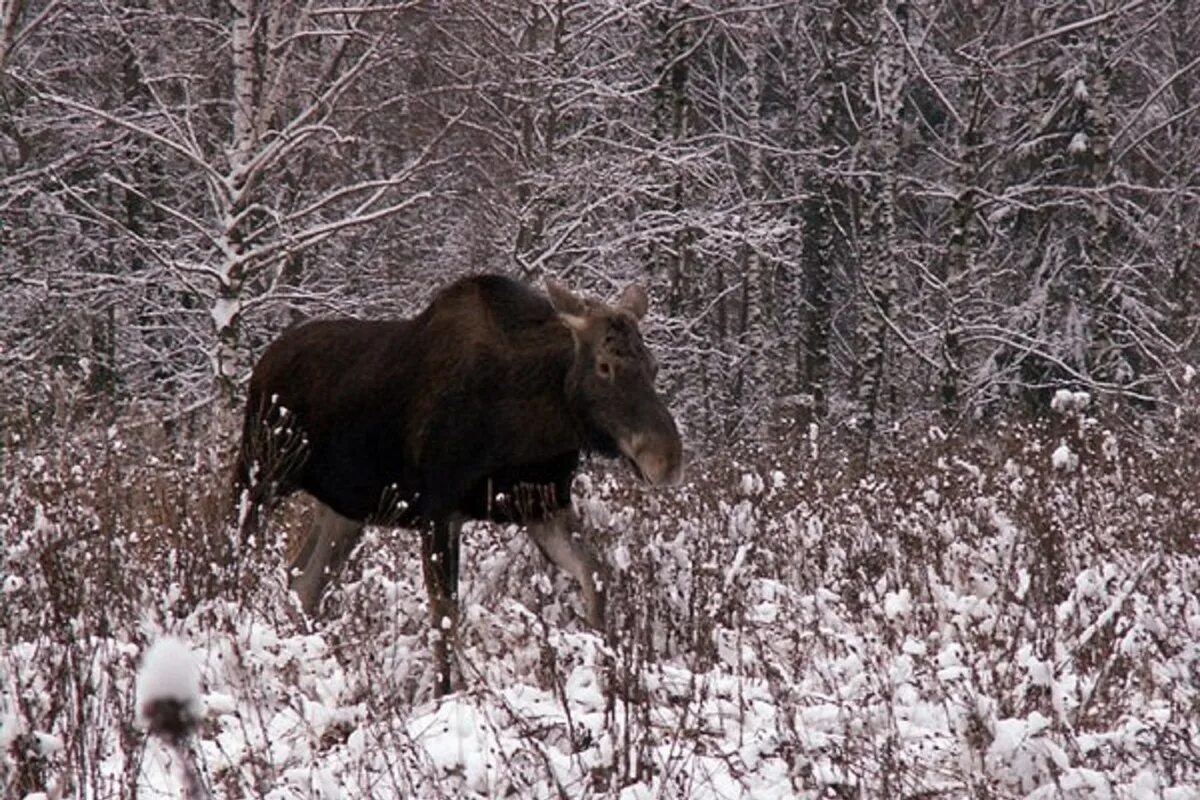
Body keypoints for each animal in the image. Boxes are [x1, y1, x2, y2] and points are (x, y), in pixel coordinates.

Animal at [234, 273, 686, 695]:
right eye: (605, 366)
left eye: (654, 367)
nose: (667, 460)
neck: (535, 425)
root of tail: (263, 363)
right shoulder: (439, 511)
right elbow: (445, 613)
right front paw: (445, 694)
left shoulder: (543, 507)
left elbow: (596, 576)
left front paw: (605, 670)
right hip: (261, 471)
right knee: (236, 553)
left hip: (345, 510)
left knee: (302, 581)